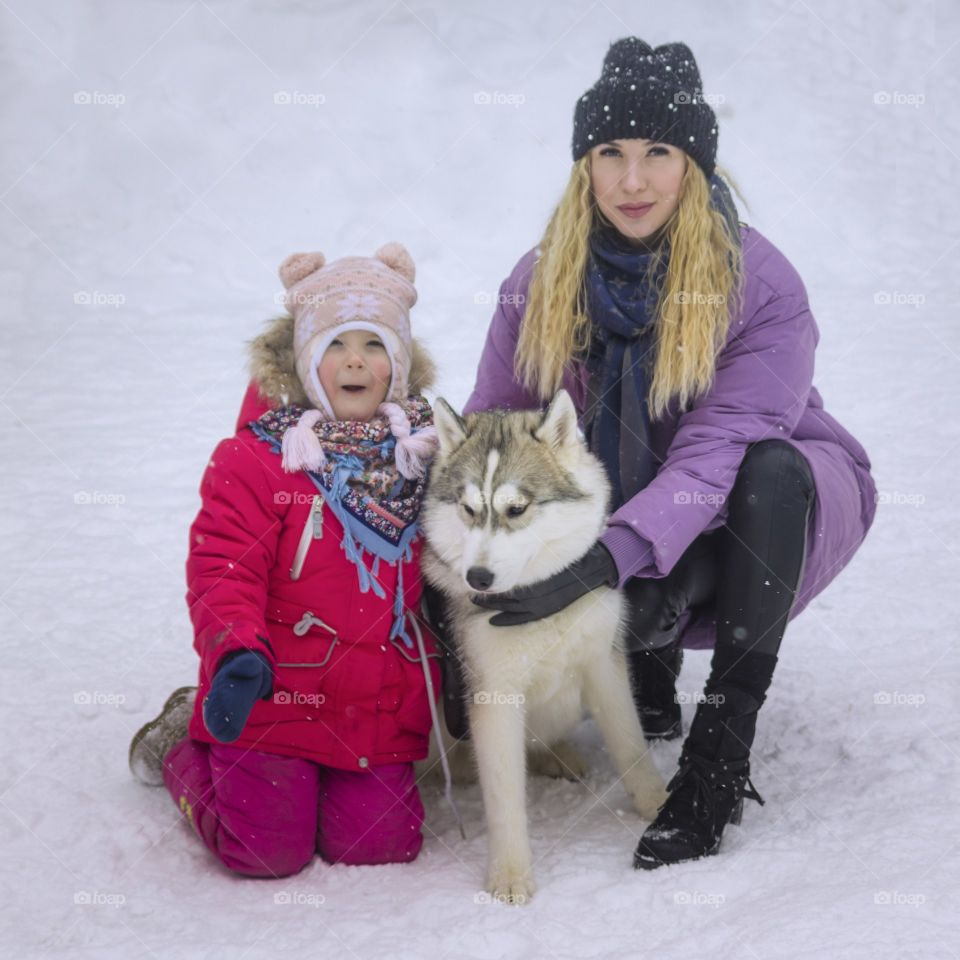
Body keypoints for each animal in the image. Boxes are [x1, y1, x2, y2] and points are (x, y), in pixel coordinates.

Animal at [422, 388, 668, 900]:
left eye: (516, 508)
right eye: (468, 509)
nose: (477, 577)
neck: (538, 600)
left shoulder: (604, 665)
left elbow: (631, 746)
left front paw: (658, 804)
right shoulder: (493, 697)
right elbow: (505, 799)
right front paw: (510, 874)